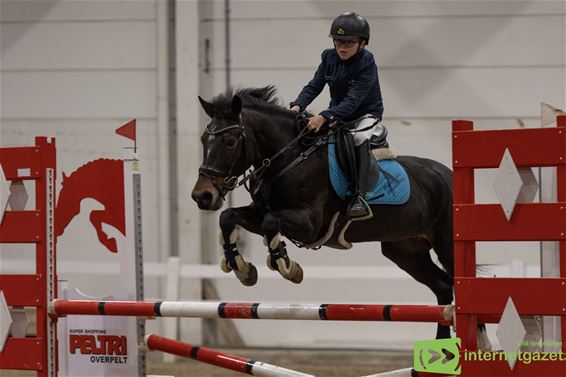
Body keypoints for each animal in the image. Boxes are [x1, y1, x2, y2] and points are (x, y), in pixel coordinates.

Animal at [191, 86, 458, 340]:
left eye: (230, 141)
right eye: (204, 139)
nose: (202, 196)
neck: (288, 159)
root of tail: (448, 174)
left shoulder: (310, 224)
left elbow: (270, 223)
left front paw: (287, 266)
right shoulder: (258, 212)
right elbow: (229, 217)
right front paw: (242, 268)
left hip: (445, 244)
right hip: (406, 251)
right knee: (443, 286)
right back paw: (442, 347)